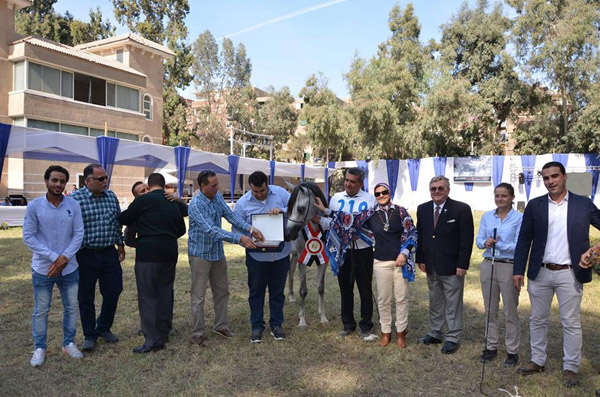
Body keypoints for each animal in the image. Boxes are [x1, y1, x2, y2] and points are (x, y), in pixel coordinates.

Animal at [284, 180, 330, 328]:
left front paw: (323, 317)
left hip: (294, 256)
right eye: (290, 208)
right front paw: (302, 321)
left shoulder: (324, 261)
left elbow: (321, 288)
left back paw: (291, 297)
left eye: (300, 209)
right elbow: (303, 290)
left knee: (291, 270)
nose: (287, 234)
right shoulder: (302, 261)